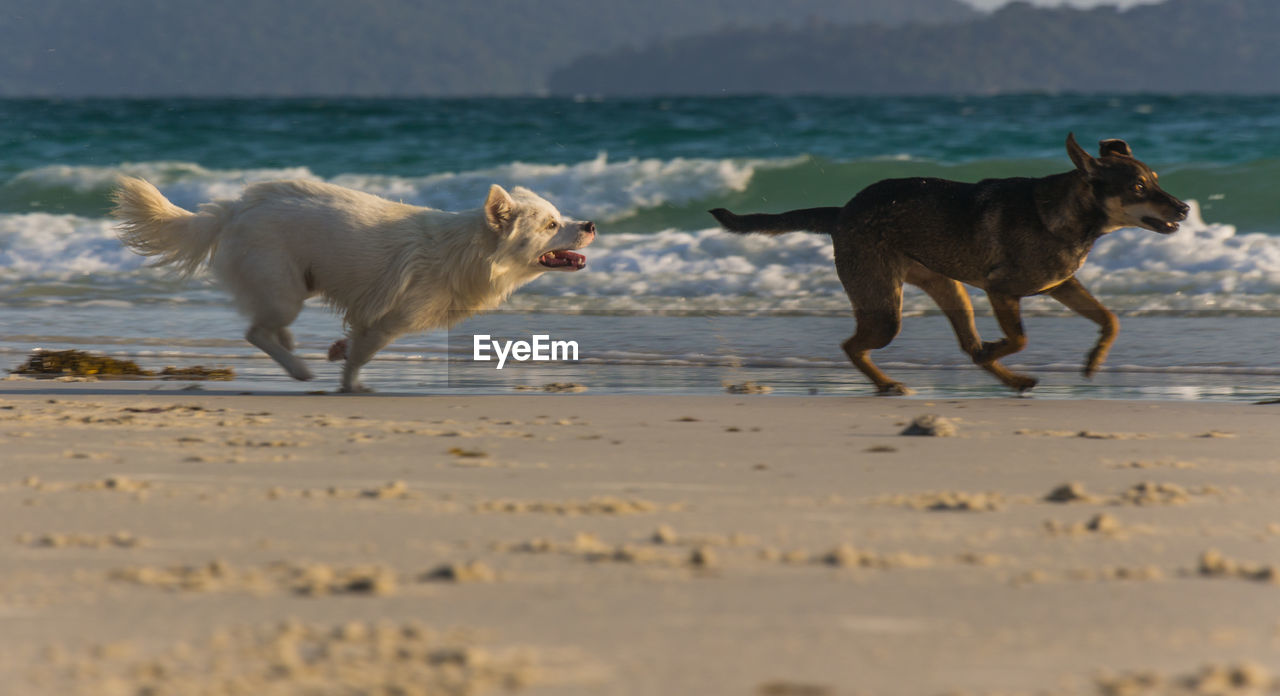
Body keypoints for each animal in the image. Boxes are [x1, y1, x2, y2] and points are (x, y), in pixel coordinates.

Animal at [112, 176, 596, 391]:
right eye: (552, 225)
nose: (590, 224)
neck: (474, 250)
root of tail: (234, 209)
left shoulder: (374, 316)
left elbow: (356, 342)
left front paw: (341, 356)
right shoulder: (392, 320)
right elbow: (364, 352)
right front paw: (349, 383)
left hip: (297, 285)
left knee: (268, 327)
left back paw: (293, 349)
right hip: (285, 290)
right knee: (255, 331)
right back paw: (298, 368)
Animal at [711, 133, 1187, 394]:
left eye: (1156, 180)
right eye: (1139, 187)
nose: (1183, 208)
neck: (1069, 215)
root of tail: (842, 212)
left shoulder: (1061, 285)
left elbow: (1110, 319)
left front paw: (1093, 361)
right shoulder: (1001, 289)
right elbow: (1019, 338)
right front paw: (1002, 347)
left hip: (948, 288)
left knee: (966, 346)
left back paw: (1010, 379)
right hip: (885, 306)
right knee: (852, 346)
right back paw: (888, 384)